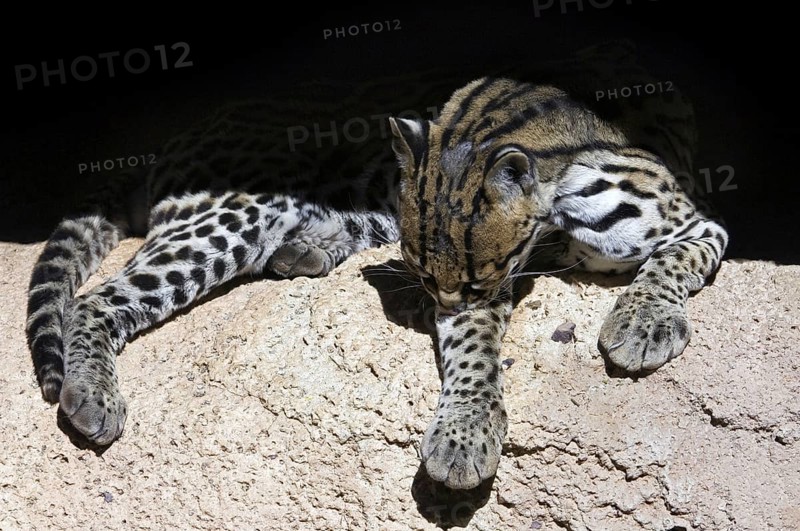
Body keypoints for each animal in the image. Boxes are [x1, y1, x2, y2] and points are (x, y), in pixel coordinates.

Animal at [25, 42, 726, 491]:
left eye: (472, 279)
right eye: (436, 282)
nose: (440, 306)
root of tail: (170, 143)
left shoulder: (698, 225)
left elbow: (673, 259)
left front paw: (643, 323)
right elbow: (474, 352)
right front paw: (466, 434)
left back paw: (307, 250)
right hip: (244, 204)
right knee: (97, 298)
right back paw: (93, 393)